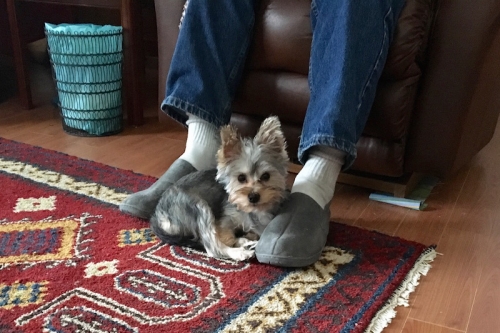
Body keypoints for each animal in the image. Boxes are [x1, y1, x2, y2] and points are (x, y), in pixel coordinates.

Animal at [148, 115, 290, 260]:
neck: (252, 212)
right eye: (241, 178)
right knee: (213, 248)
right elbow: (225, 236)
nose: (253, 196)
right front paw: (239, 242)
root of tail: (157, 215)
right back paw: (240, 252)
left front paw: (246, 237)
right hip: (197, 206)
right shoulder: (223, 220)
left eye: (266, 176)